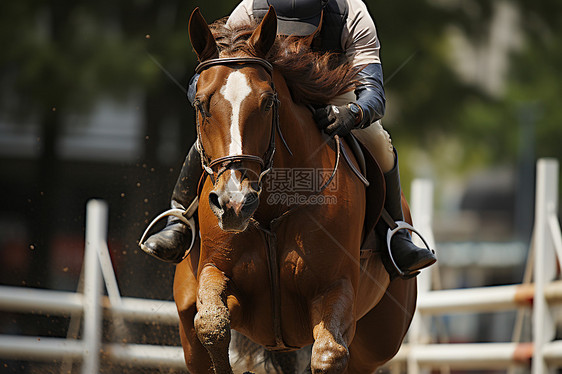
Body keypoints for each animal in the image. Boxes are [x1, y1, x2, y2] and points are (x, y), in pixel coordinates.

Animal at [173, 6, 418, 374]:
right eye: (201, 104)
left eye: (267, 102)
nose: (234, 204)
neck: (272, 209)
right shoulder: (216, 273)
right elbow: (211, 325)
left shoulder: (335, 289)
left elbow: (328, 354)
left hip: (377, 342)